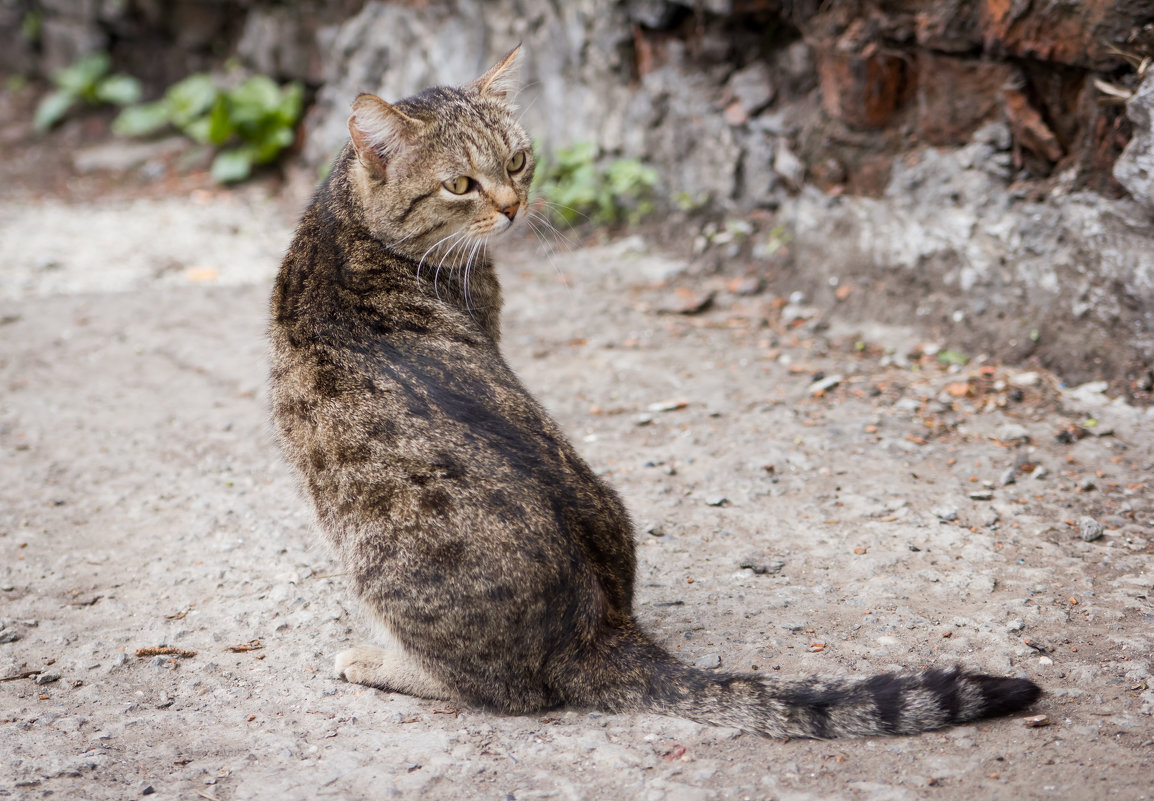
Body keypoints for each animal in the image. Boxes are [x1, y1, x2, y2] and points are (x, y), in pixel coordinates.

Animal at [265, 47, 1043, 738]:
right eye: (460, 184)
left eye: (516, 162)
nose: (514, 207)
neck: (347, 224)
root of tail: (603, 629)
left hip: (378, 564)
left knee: (503, 693)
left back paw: (378, 659)